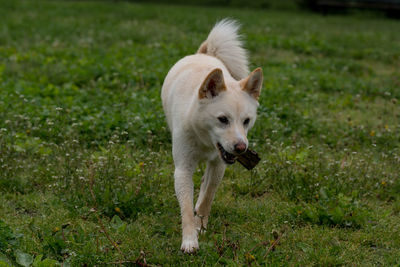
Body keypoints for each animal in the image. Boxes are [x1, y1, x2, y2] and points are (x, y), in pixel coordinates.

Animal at [161, 18, 264, 253]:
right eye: (222, 119)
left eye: (246, 121)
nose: (241, 148)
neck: (203, 139)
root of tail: (204, 53)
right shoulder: (183, 169)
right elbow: (186, 208)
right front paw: (190, 240)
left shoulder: (219, 165)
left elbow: (207, 197)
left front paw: (201, 226)